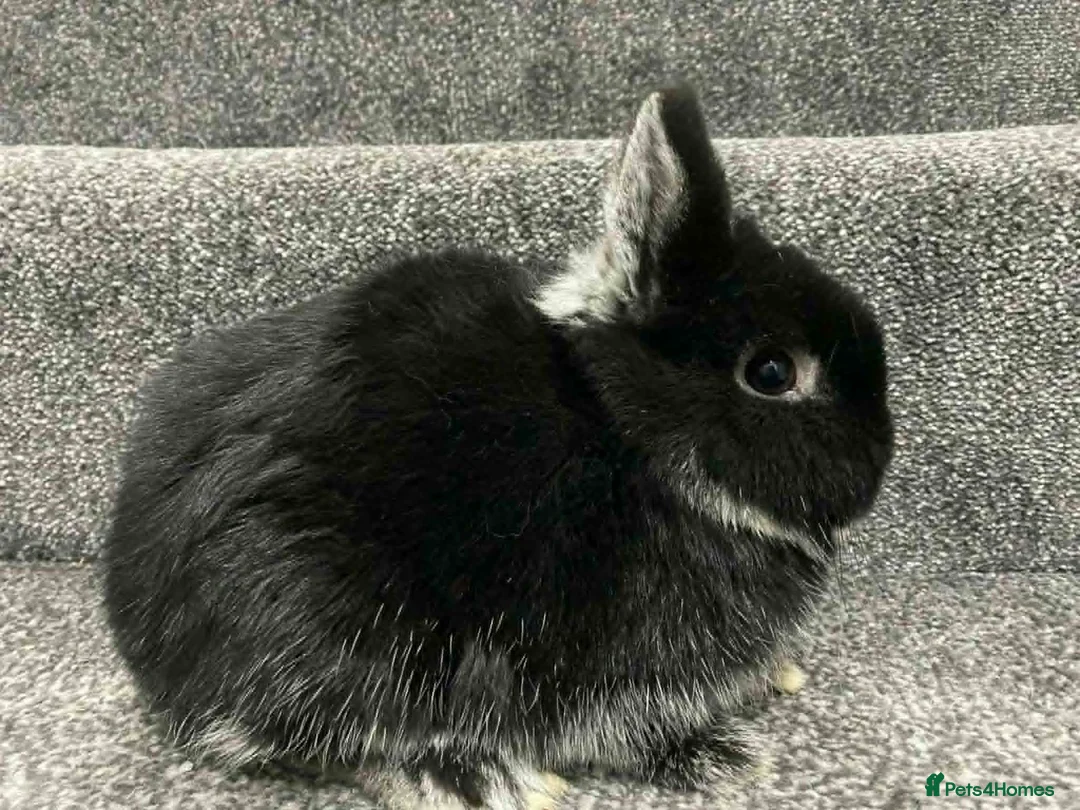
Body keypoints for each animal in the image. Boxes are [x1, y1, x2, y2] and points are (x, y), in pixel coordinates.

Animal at [102, 83, 894, 810]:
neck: (633, 437)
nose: (878, 464)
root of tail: (146, 646)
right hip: (333, 625)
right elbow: (626, 731)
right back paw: (473, 775)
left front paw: (778, 675)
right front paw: (719, 755)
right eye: (773, 373)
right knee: (327, 741)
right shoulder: (609, 664)